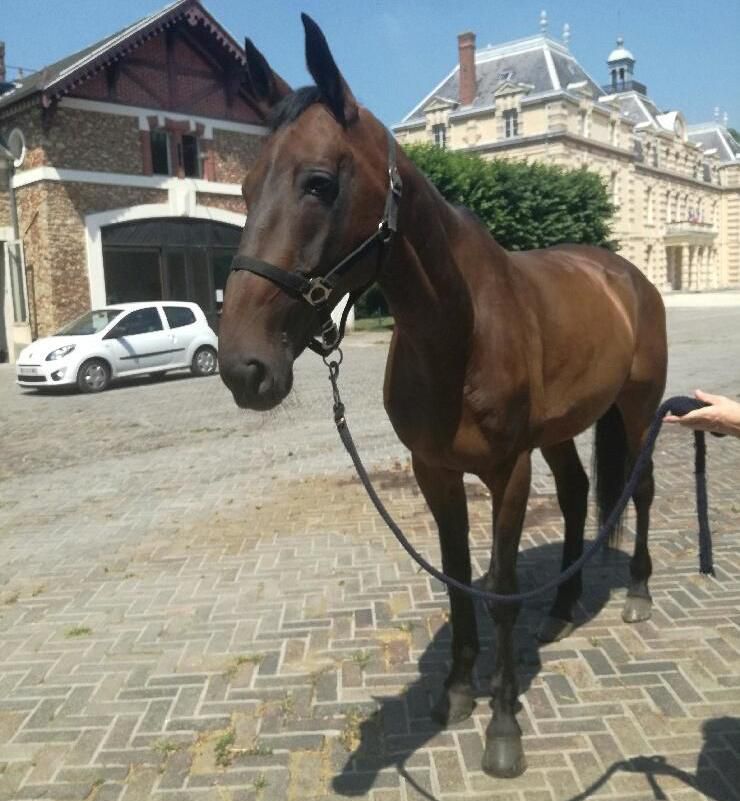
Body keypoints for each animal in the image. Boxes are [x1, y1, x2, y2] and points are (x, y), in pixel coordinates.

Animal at [217, 15, 668, 780]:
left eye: (318, 182)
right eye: (245, 188)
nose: (243, 367)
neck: (460, 329)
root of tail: (625, 273)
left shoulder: (508, 471)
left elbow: (501, 588)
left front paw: (504, 727)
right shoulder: (435, 470)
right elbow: (460, 578)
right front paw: (457, 691)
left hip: (637, 410)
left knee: (637, 490)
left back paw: (636, 593)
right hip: (561, 431)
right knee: (579, 494)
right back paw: (565, 606)